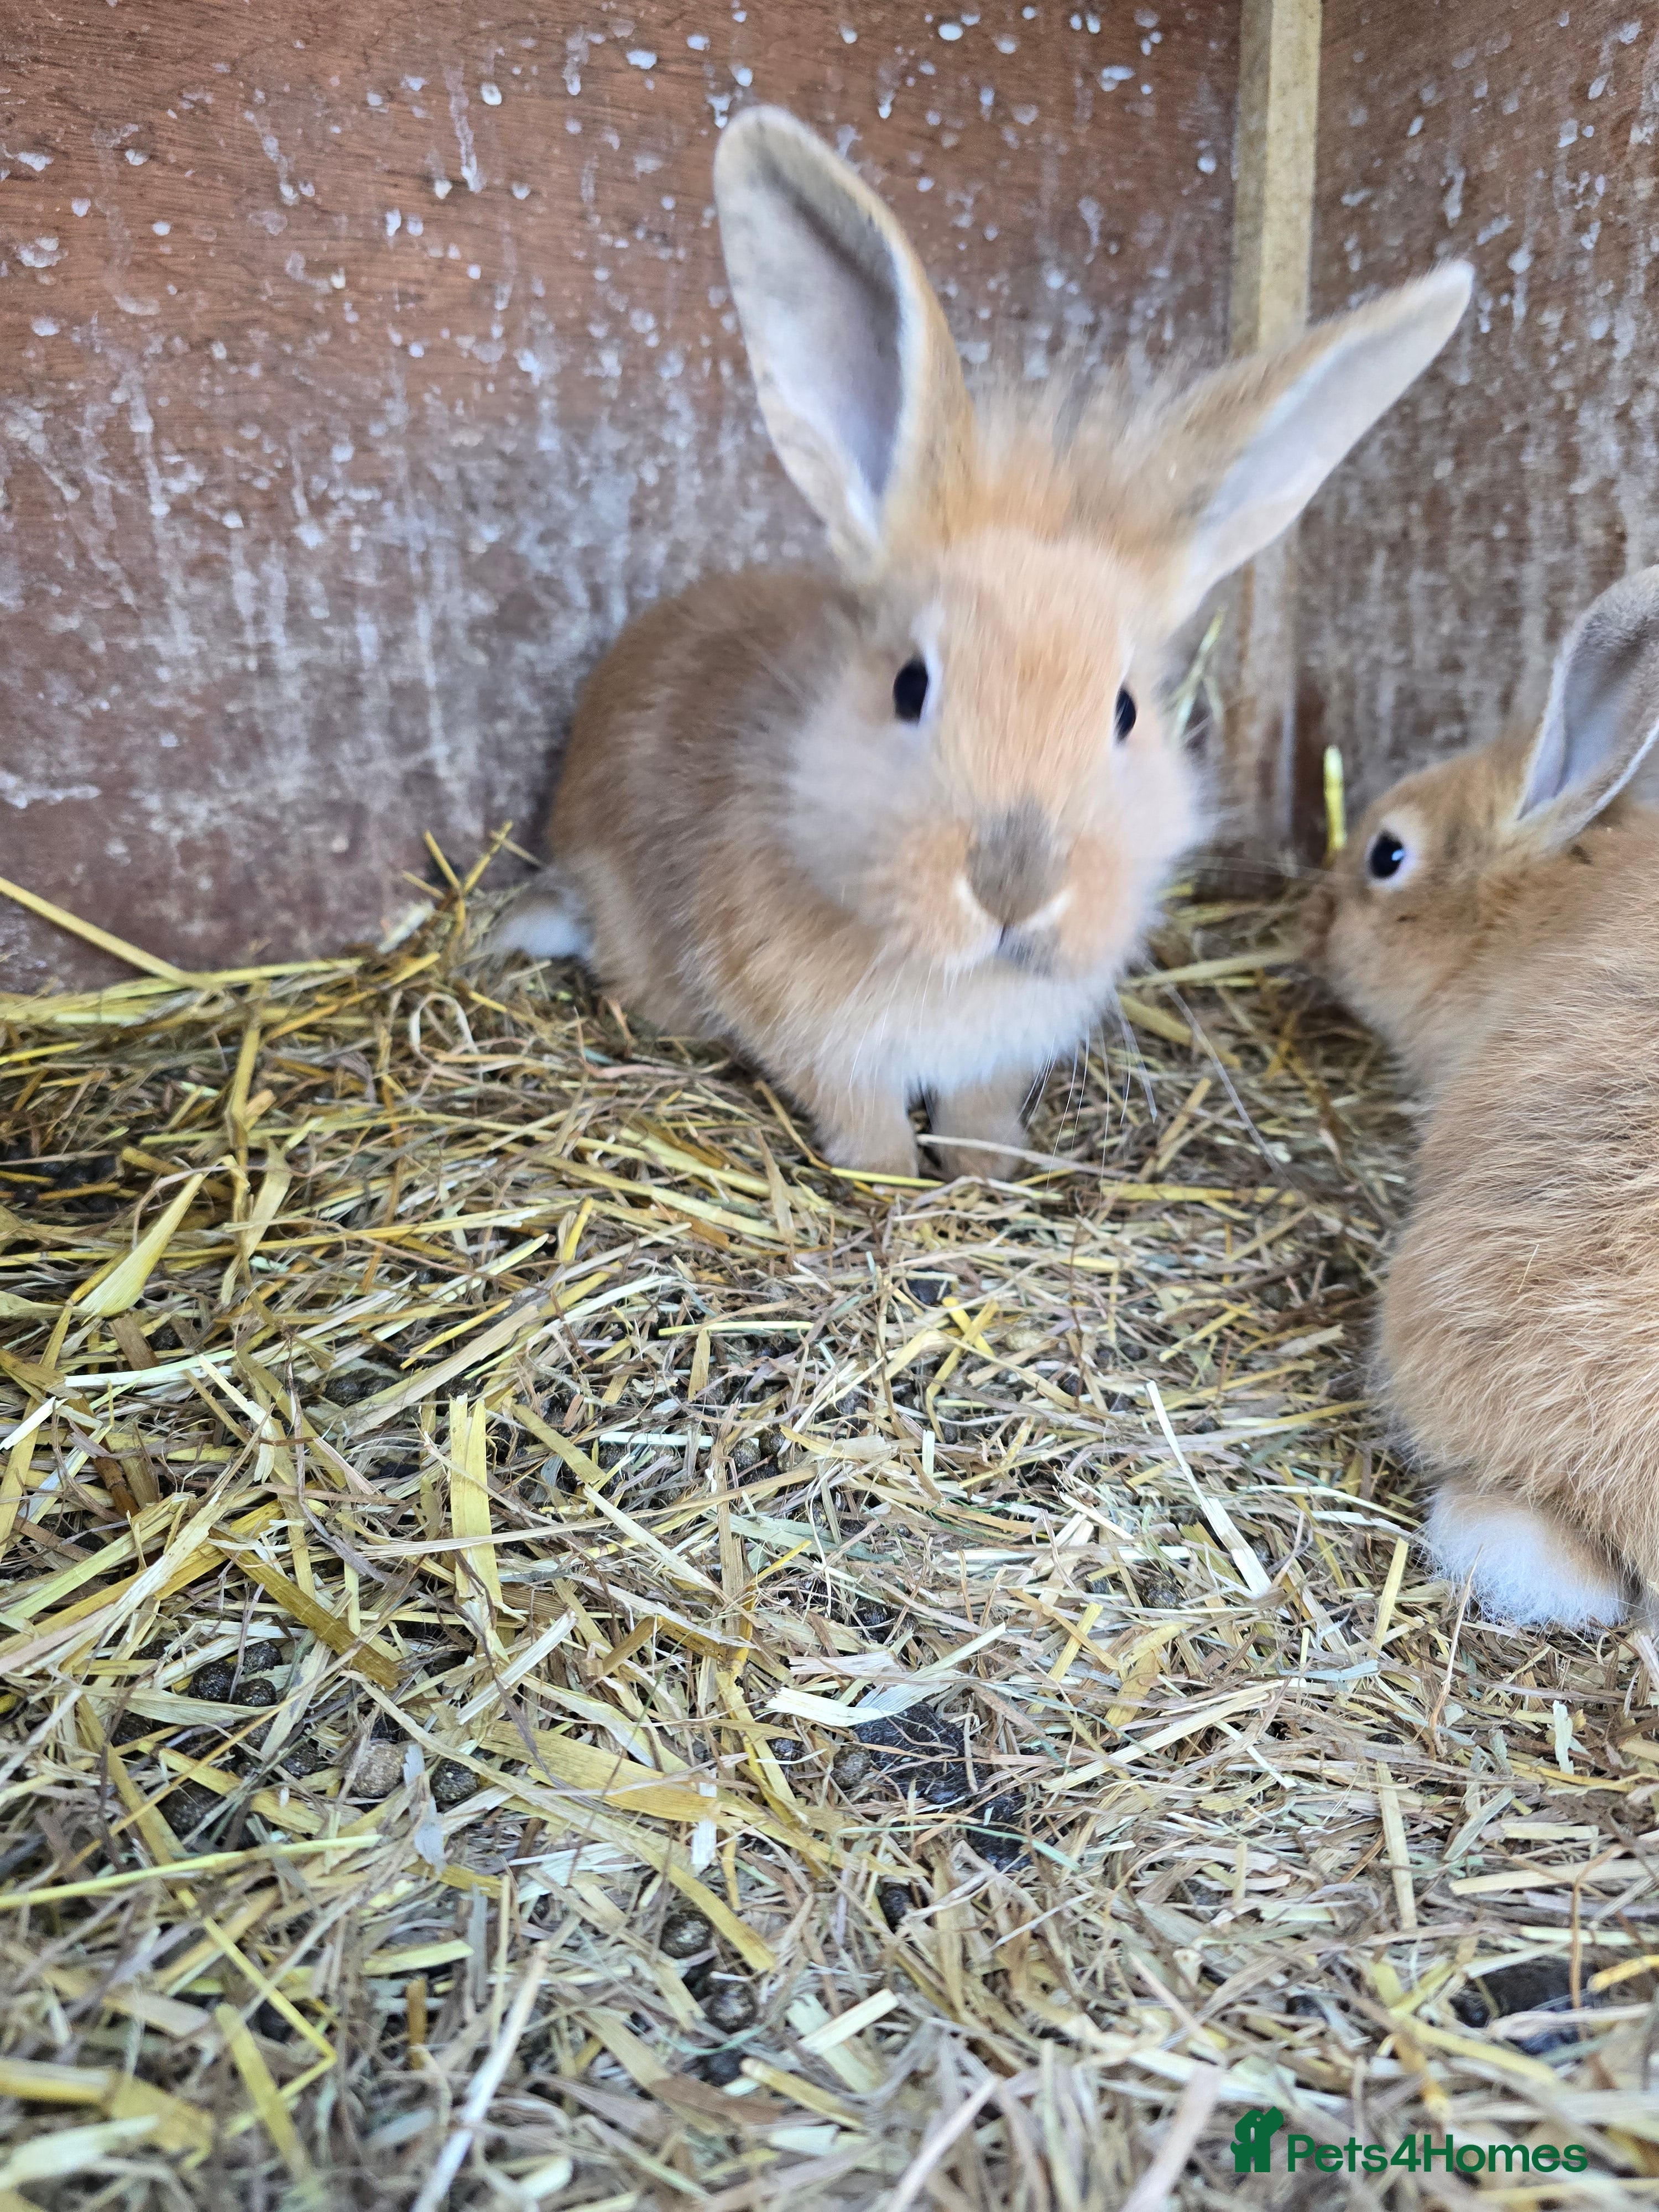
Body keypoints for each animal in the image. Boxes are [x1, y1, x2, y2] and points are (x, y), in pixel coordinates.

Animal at [497, 104, 1471, 1181]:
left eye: (1126, 712)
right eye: (910, 687)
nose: (1017, 885)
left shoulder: (1005, 1054)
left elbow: (979, 1110)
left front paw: (993, 1171)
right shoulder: (821, 1046)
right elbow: (864, 1118)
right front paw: (891, 1180)